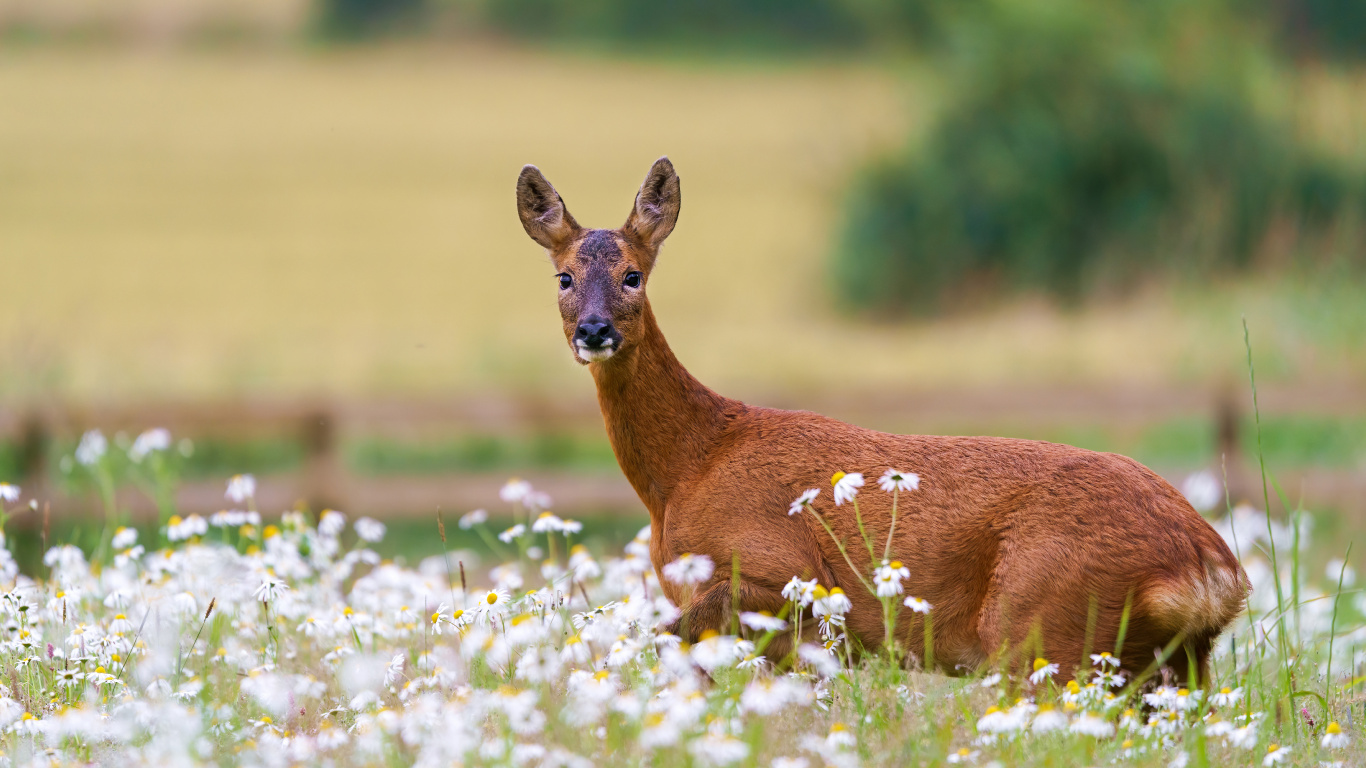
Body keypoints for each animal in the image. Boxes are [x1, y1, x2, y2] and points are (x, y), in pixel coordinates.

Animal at [514, 156, 1249, 685]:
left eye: (633, 275)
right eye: (563, 278)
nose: (595, 330)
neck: (689, 467)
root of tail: (1211, 569)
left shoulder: (785, 573)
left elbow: (667, 635)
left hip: (1048, 627)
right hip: (1167, 666)